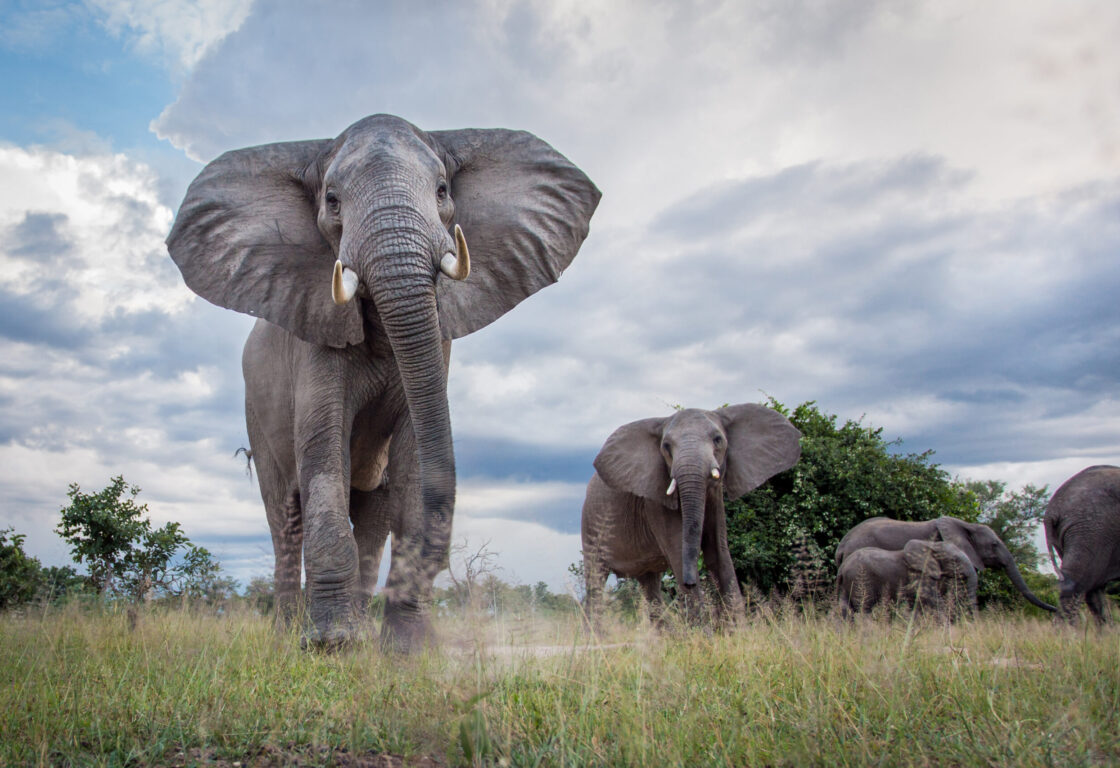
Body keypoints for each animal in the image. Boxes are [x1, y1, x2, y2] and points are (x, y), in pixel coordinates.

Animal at [166, 114, 600, 650]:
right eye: (332, 200)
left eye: (442, 191)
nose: (440, 562)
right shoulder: (315, 330)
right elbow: (323, 446)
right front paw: (329, 645)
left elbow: (414, 452)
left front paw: (408, 651)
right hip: (256, 411)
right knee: (285, 515)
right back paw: (291, 638)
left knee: (374, 515)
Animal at [581, 404, 801, 624]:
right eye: (666, 446)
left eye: (717, 439)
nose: (689, 583)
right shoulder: (655, 501)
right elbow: (679, 552)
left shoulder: (715, 497)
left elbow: (719, 552)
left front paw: (739, 630)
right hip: (591, 527)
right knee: (596, 579)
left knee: (650, 585)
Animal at [836, 540, 978, 618]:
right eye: (954, 560)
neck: (931, 545)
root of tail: (842, 567)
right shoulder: (919, 573)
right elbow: (929, 598)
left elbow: (915, 604)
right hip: (859, 579)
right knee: (863, 608)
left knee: (844, 609)